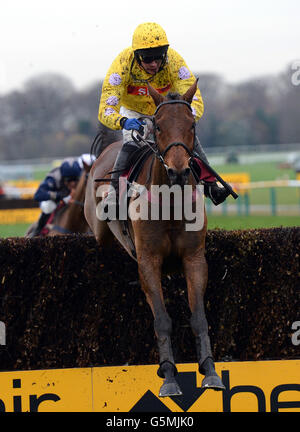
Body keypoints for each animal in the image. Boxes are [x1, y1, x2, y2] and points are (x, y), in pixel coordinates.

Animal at [84, 81, 225, 398]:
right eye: (158, 126)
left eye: (192, 125)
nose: (178, 171)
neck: (171, 202)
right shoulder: (149, 261)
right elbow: (162, 319)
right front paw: (169, 376)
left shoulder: (194, 258)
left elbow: (198, 317)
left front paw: (210, 371)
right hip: (98, 228)